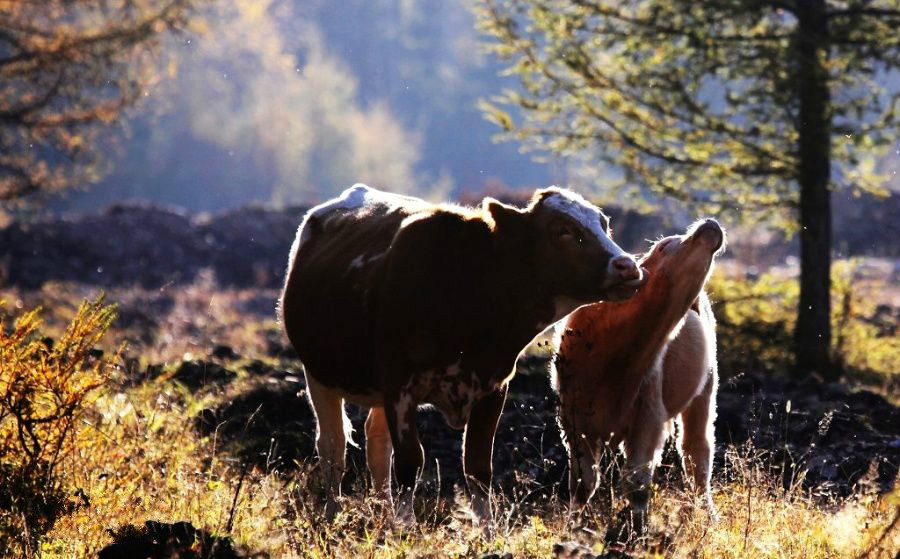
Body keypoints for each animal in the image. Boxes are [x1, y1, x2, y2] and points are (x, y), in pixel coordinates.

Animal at [282, 184, 648, 524]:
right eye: (563, 231)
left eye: (604, 224)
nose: (628, 266)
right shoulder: (400, 387)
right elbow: (410, 462)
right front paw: (405, 529)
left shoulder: (493, 387)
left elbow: (477, 467)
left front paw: (487, 533)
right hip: (319, 374)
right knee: (333, 447)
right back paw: (332, 515)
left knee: (377, 446)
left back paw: (382, 510)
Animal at [552, 219, 728, 544]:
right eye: (664, 245)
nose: (709, 225)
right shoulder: (572, 419)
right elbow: (583, 482)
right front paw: (572, 527)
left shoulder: (648, 417)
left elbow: (636, 482)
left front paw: (638, 534)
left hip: (706, 389)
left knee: (696, 453)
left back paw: (708, 516)